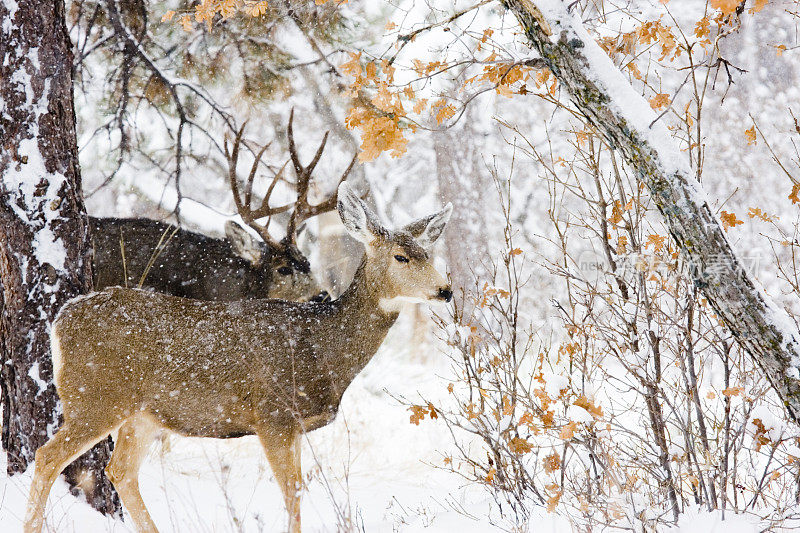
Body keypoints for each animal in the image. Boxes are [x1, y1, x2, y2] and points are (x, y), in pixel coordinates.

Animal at [23, 181, 450, 528]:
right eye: (401, 256)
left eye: (429, 253)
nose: (446, 290)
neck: (320, 349)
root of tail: (61, 318)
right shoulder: (273, 415)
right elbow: (292, 495)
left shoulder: (295, 425)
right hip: (96, 398)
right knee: (47, 458)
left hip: (143, 413)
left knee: (120, 470)